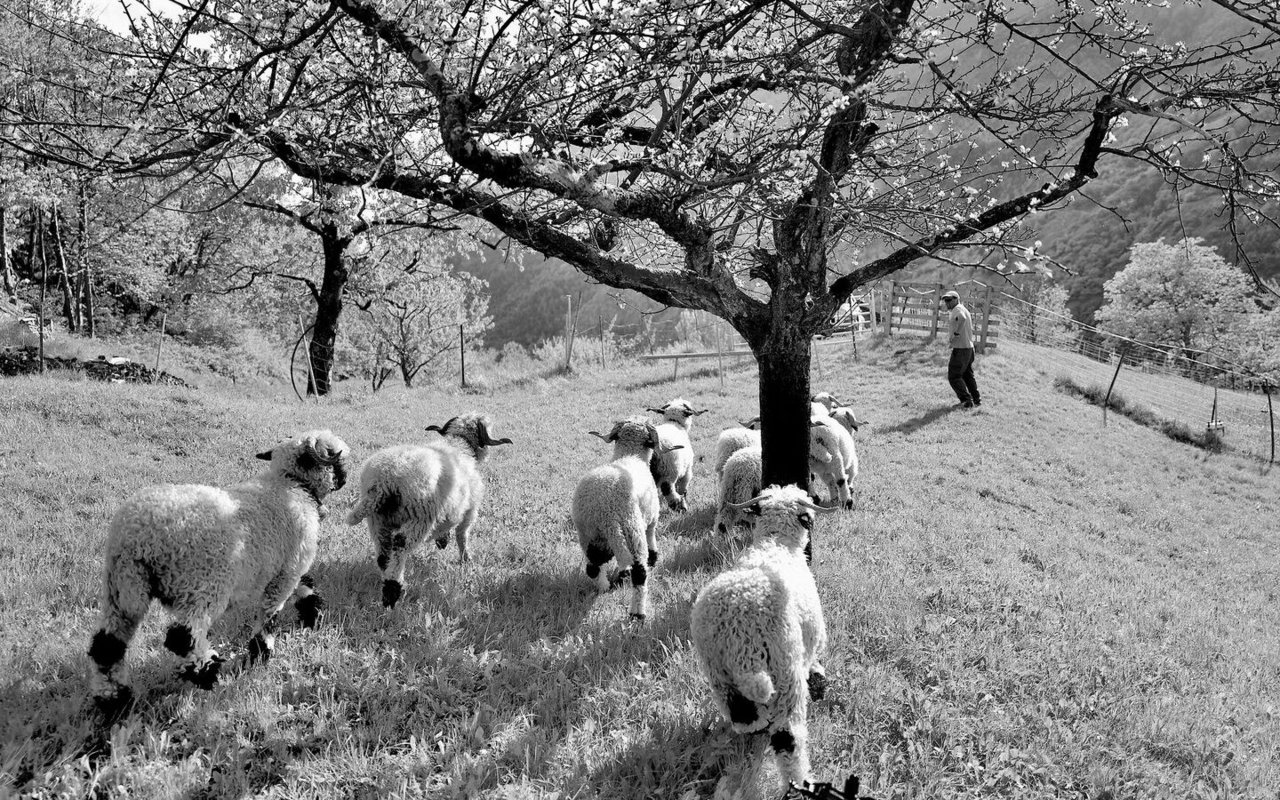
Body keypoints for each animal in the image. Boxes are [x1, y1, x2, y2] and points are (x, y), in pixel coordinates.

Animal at [88, 427, 350, 716]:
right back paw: (206, 673)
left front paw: (313, 615)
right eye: (335, 458)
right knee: (183, 636)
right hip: (202, 586)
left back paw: (114, 701)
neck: (289, 484)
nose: (344, 480)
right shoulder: (285, 572)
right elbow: (270, 614)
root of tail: (138, 537)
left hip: (122, 588)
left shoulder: (289, 565)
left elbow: (304, 585)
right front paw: (262, 654)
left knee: (107, 645)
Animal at [350, 412, 514, 604]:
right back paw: (394, 590)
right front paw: (466, 560)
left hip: (378, 521)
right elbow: (462, 536)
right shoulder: (469, 510)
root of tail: (384, 480)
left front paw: (443, 540)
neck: (459, 446)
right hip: (419, 518)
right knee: (399, 545)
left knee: (383, 555)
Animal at [578, 414, 686, 622]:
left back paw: (605, 588)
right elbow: (652, 535)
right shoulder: (651, 516)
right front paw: (654, 557)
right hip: (632, 531)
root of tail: (604, 511)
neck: (631, 456)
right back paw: (638, 613)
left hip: (588, 536)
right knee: (639, 574)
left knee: (593, 567)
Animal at [696, 483, 834, 788]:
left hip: (722, 681)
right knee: (788, 740)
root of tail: (741, 637)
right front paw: (819, 675)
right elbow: (815, 660)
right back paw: (799, 783)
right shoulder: (812, 638)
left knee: (746, 721)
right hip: (785, 678)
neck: (776, 543)